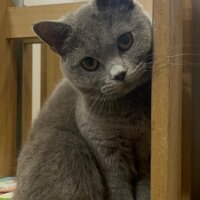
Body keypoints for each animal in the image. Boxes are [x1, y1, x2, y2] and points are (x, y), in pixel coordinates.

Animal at [12, 0, 152, 200]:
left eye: (125, 41)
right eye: (89, 63)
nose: (119, 74)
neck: (128, 115)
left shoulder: (149, 144)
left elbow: (147, 181)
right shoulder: (102, 145)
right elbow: (118, 185)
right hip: (68, 148)